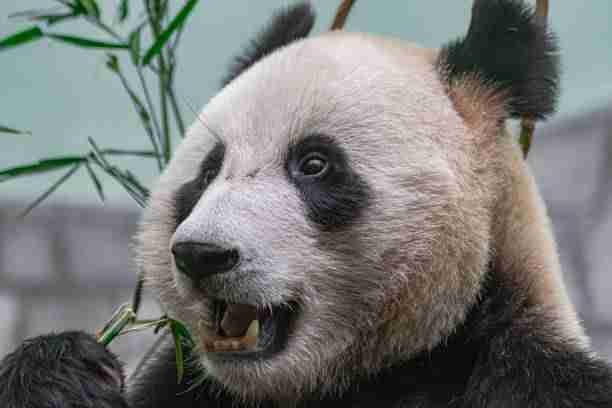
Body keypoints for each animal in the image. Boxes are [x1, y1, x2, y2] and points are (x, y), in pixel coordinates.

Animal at [1, 1, 612, 406]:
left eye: (314, 164)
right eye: (207, 171)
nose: (202, 254)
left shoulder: (518, 373)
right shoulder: (187, 386)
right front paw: (65, 372)